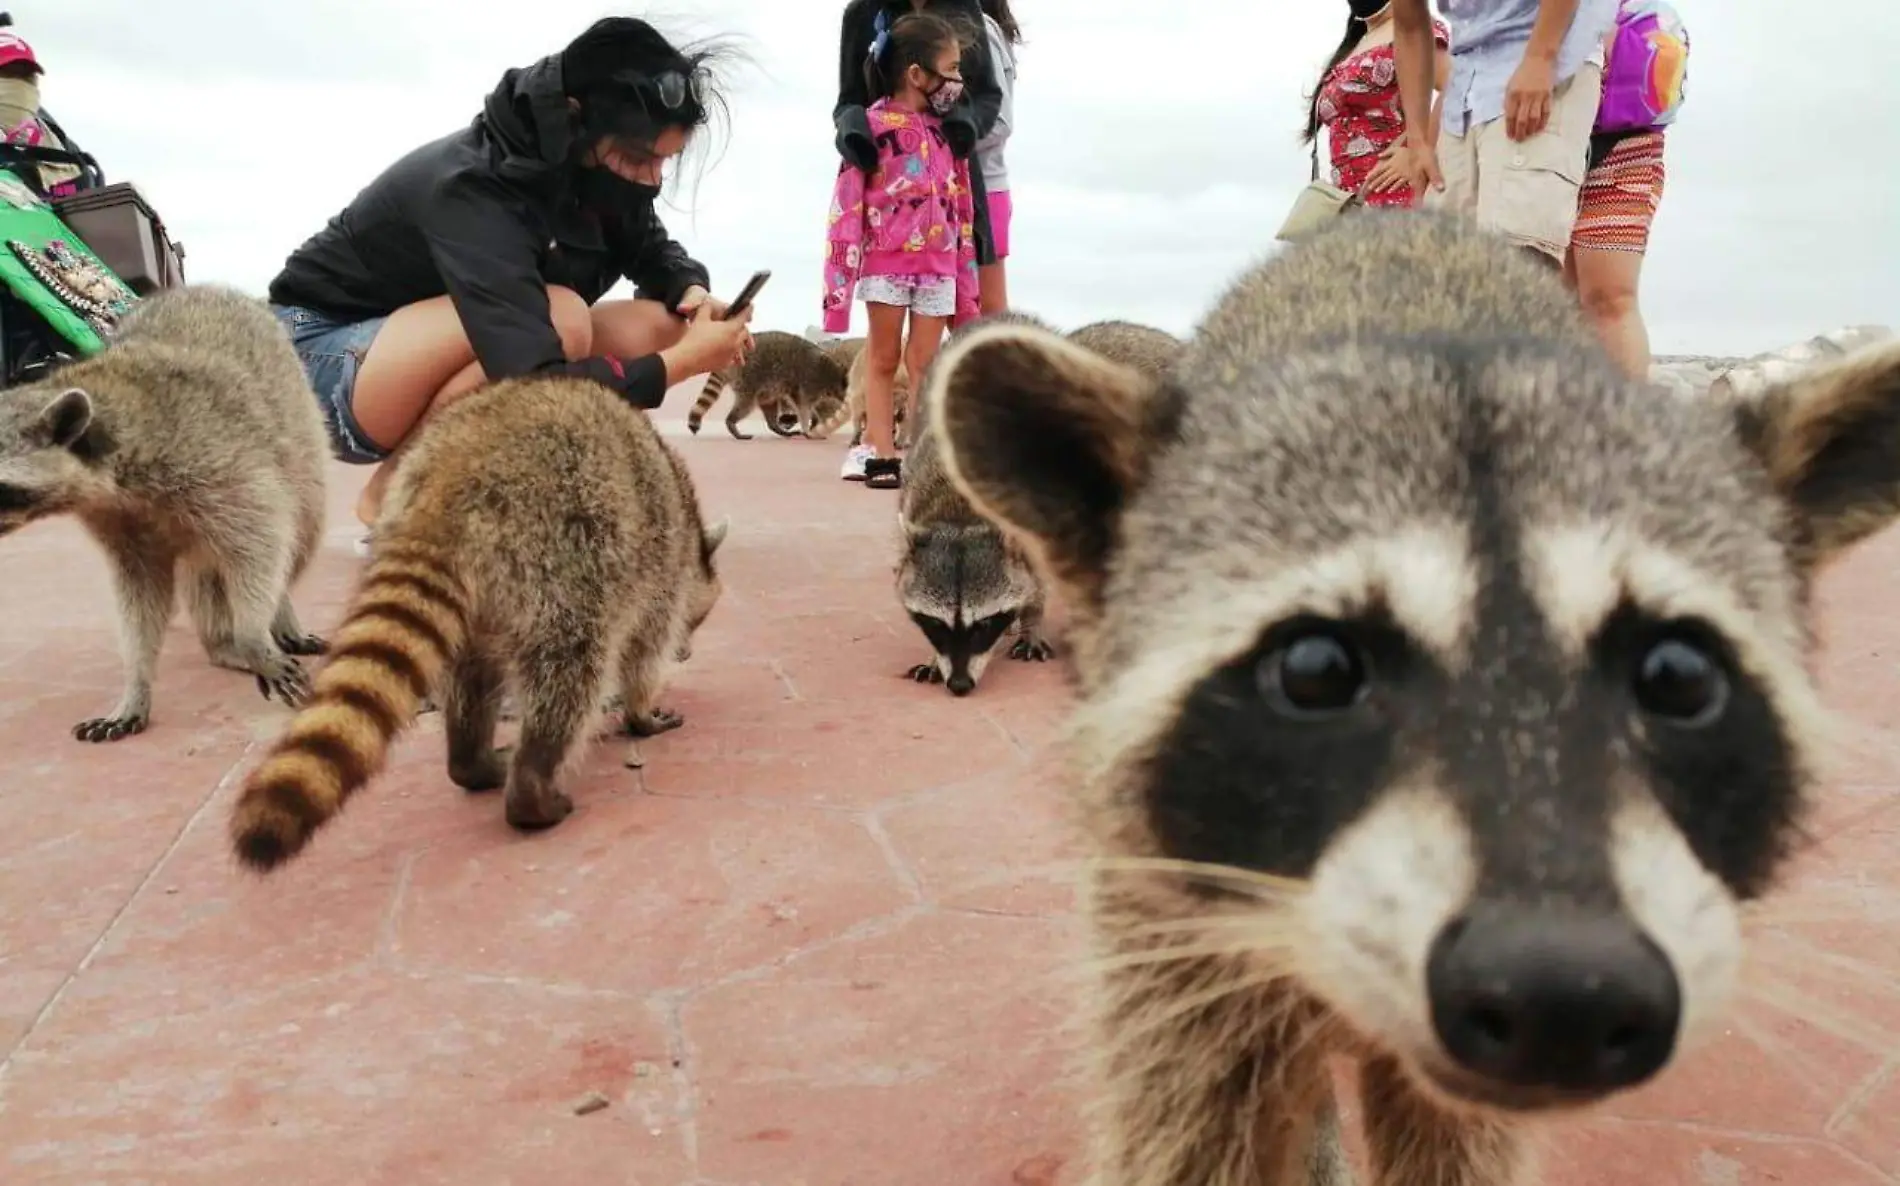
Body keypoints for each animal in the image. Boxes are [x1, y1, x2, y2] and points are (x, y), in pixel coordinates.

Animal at [0, 283, 326, 741]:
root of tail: (208, 288)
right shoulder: (118, 521)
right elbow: (141, 597)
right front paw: (136, 683)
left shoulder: (221, 466)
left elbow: (262, 541)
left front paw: (252, 636)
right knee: (206, 573)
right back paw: (222, 643)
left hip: (303, 435)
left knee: (299, 536)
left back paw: (273, 617)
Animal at [224, 372, 725, 870]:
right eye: (699, 619)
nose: (689, 652)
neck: (688, 519)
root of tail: (450, 474)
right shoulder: (659, 570)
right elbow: (644, 653)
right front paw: (641, 712)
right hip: (563, 557)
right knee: (570, 670)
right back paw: (532, 789)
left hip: (490, 584)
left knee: (472, 679)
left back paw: (471, 760)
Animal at [687, 328, 851, 440]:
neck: (835, 373)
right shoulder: (810, 381)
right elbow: (803, 407)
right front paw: (807, 428)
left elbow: (801, 405)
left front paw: (814, 421)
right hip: (749, 378)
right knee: (746, 405)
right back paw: (731, 422)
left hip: (765, 390)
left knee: (769, 407)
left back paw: (777, 428)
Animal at [896, 307, 1064, 695]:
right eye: (936, 625)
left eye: (984, 625)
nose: (959, 686)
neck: (963, 512)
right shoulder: (913, 491)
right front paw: (934, 658)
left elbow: (1037, 578)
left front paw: (1032, 620)